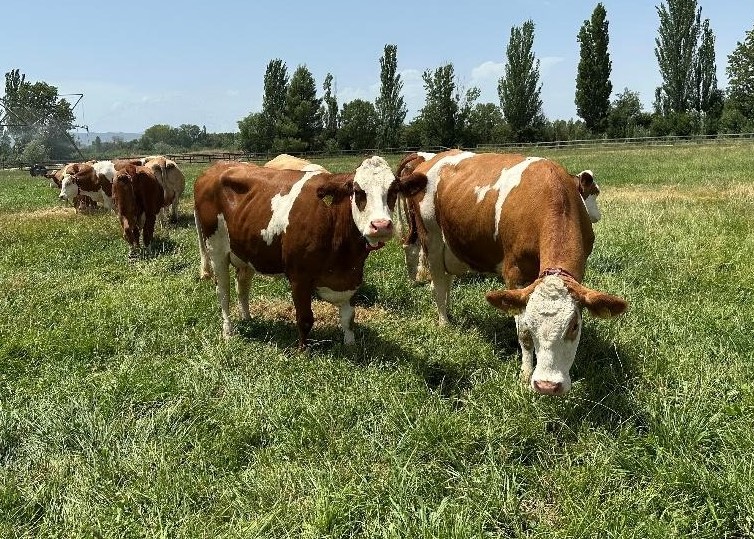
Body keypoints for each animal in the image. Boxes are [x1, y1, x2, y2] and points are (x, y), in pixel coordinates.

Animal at [193, 156, 427, 347]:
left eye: (393, 191)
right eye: (358, 191)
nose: (381, 225)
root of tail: (215, 167)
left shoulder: (350, 277)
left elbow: (349, 317)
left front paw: (350, 345)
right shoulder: (299, 276)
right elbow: (305, 318)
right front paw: (303, 351)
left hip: (247, 251)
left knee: (242, 285)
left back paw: (248, 318)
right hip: (216, 250)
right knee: (223, 292)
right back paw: (228, 331)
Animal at [407, 150, 627, 396]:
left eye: (574, 326)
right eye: (531, 323)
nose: (547, 385)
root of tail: (433, 158)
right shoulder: (514, 275)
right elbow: (523, 334)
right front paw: (525, 374)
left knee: (446, 283)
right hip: (431, 239)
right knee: (437, 286)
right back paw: (445, 322)